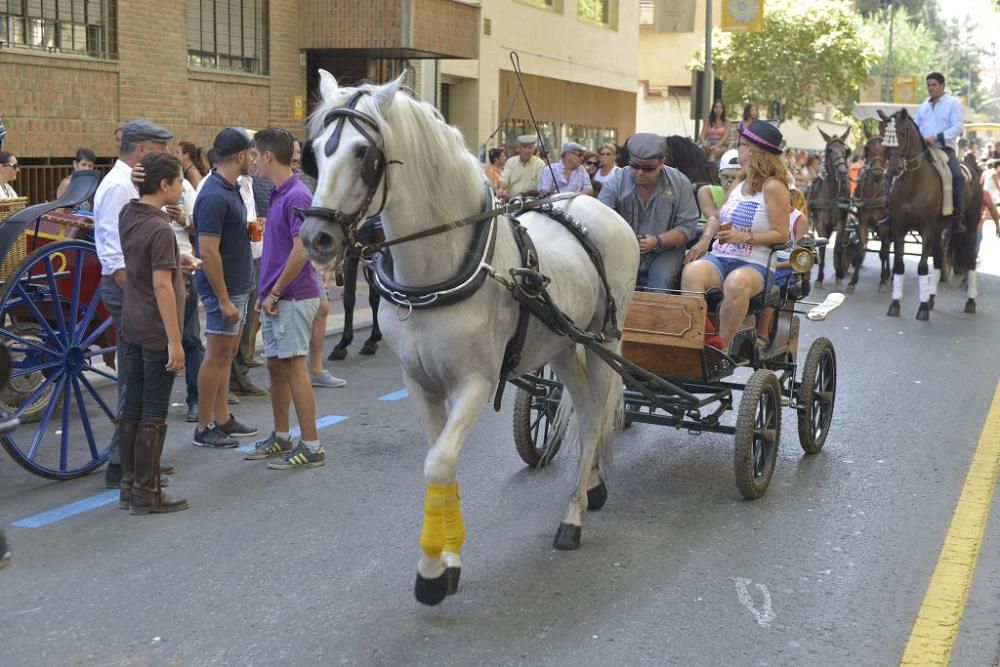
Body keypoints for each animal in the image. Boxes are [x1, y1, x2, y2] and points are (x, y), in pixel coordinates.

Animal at [298, 72, 640, 604]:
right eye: (314, 151)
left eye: (363, 152)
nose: (316, 238)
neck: (438, 274)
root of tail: (594, 204)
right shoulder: (420, 382)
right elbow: (441, 458)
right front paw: (448, 560)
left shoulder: (475, 382)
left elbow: (438, 463)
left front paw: (432, 572)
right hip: (564, 345)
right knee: (585, 409)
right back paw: (592, 488)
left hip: (605, 341)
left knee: (595, 416)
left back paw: (573, 517)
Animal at [804, 128, 852, 290]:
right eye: (829, 150)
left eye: (846, 150)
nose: (843, 172)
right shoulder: (820, 222)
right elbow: (823, 248)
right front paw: (819, 278)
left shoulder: (842, 220)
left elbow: (838, 247)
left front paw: (839, 274)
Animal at [880, 108, 980, 320]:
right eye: (884, 135)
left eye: (902, 134)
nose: (892, 169)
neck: (913, 183)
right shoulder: (899, 228)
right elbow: (899, 265)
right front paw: (895, 304)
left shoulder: (926, 229)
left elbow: (922, 267)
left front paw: (923, 308)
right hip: (938, 230)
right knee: (939, 260)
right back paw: (931, 298)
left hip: (970, 226)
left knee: (970, 259)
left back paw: (970, 301)